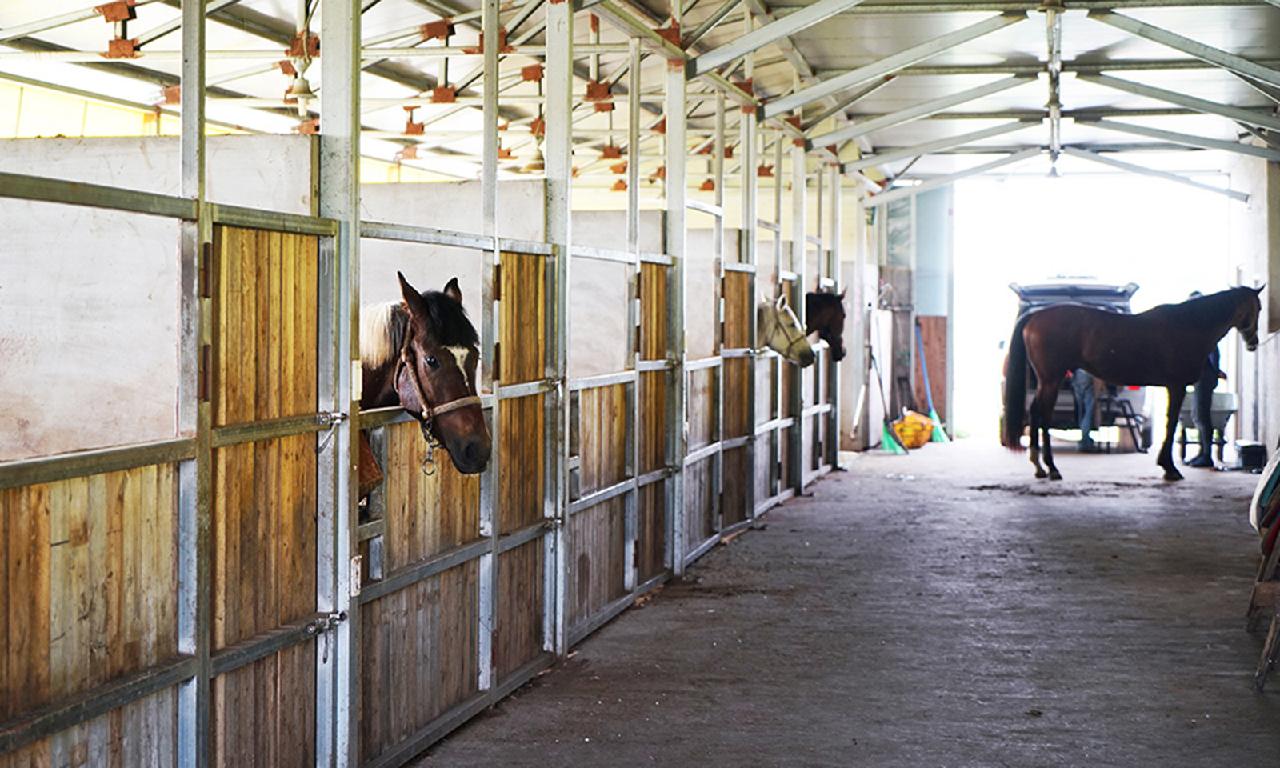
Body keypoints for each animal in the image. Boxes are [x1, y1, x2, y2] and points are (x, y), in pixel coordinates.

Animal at [998, 285, 1259, 483]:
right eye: (1256, 308)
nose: (1253, 343)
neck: (1188, 325)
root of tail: (1035, 317)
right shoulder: (1176, 386)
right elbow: (1171, 424)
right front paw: (1170, 468)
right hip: (1051, 379)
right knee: (1041, 414)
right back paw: (1050, 468)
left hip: (1048, 380)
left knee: (1036, 413)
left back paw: (1040, 467)